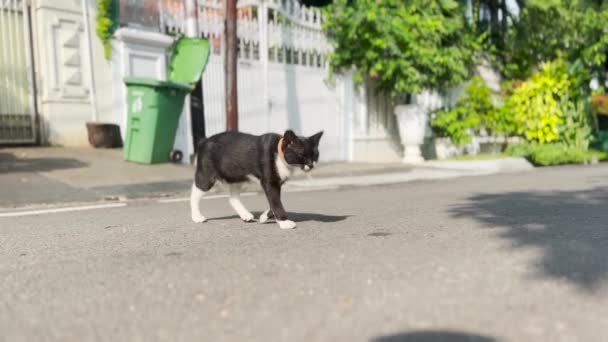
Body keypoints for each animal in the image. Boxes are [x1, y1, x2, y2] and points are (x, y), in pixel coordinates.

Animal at [190, 130, 324, 228]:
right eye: (301, 155)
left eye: (315, 155)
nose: (311, 165)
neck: (279, 155)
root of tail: (204, 140)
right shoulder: (269, 182)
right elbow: (276, 201)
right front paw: (284, 222)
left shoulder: (277, 184)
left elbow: (275, 201)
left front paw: (264, 217)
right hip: (207, 175)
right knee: (195, 193)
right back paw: (197, 217)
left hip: (235, 175)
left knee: (233, 198)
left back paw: (245, 215)